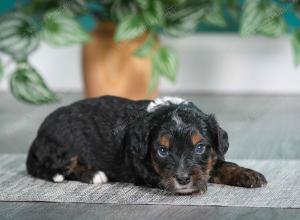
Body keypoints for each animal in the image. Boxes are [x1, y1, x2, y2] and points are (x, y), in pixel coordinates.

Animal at [27, 96, 266, 194]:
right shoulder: (146, 171)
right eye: (162, 151)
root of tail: (36, 137)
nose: (183, 179)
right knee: (66, 168)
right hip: (64, 149)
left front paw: (249, 175)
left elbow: (221, 164)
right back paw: (94, 174)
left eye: (199, 147)